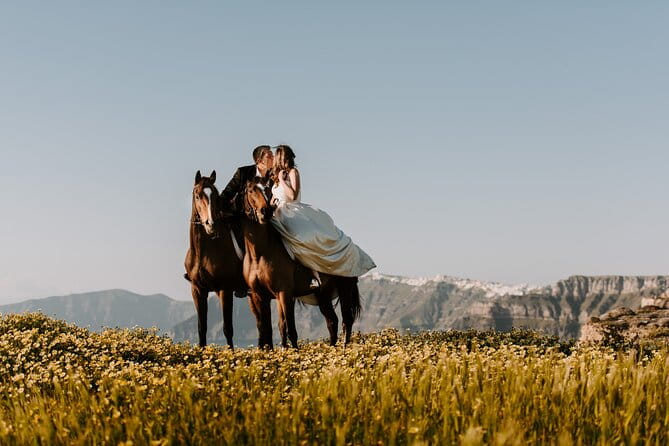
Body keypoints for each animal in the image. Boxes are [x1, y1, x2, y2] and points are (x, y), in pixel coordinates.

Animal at [184, 170, 247, 348]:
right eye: (197, 195)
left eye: (216, 196)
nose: (210, 224)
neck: (203, 253)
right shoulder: (198, 290)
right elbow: (201, 328)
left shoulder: (225, 290)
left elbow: (227, 329)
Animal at [241, 179, 362, 349]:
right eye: (251, 190)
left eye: (267, 190)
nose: (266, 212)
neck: (260, 253)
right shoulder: (259, 296)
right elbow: (267, 328)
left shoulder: (284, 293)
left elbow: (288, 327)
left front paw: (292, 352)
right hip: (323, 295)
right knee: (332, 321)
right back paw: (332, 349)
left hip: (344, 288)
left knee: (347, 320)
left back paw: (344, 350)